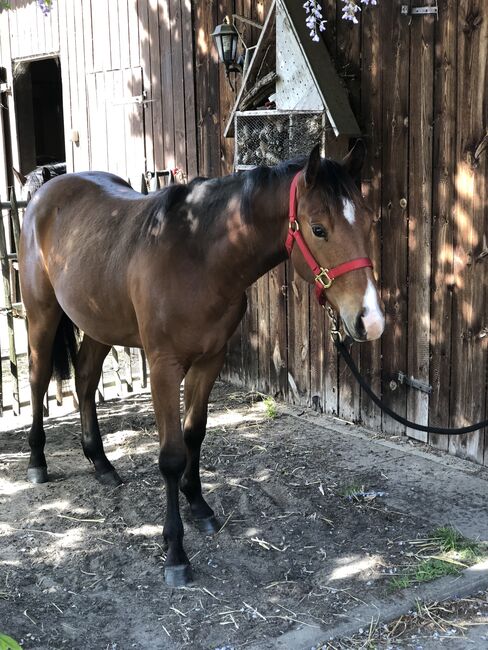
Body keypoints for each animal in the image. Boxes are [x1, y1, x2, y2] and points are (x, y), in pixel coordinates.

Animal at [19, 143, 386, 588]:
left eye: (368, 221)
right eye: (318, 229)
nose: (371, 320)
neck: (197, 257)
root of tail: (47, 189)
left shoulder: (211, 360)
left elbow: (195, 435)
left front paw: (198, 506)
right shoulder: (163, 366)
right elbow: (171, 456)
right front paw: (175, 552)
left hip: (99, 323)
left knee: (86, 379)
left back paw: (101, 464)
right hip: (41, 315)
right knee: (38, 379)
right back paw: (37, 462)